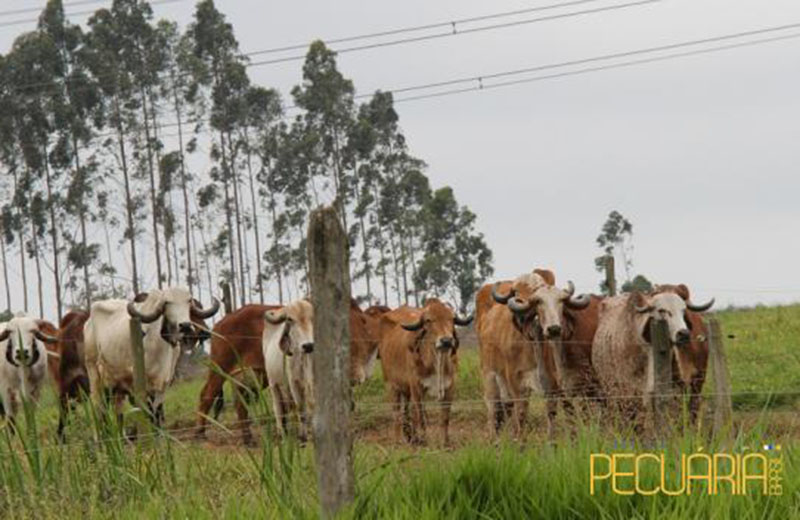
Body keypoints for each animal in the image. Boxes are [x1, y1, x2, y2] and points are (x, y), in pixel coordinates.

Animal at [83, 288, 219, 426]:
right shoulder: (143, 387)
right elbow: (148, 414)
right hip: (95, 376)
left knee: (118, 413)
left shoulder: (162, 385)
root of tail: (88, 323)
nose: (185, 326)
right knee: (100, 410)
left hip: (117, 386)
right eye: (167, 302)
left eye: (188, 301)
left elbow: (157, 414)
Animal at [378, 298, 472, 444]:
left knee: (406, 411)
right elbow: (420, 417)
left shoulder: (450, 386)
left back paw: (410, 435)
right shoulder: (416, 388)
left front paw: (445, 442)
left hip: (405, 390)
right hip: (392, 385)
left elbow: (445, 417)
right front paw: (423, 440)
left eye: (451, 319)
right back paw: (399, 440)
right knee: (397, 413)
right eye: (428, 320)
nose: (446, 340)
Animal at [476, 270, 600, 440]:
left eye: (535, 290)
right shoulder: (515, 381)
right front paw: (520, 442)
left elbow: (552, 412)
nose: (554, 329)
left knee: (505, 411)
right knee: (493, 413)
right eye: (515, 292)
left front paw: (551, 442)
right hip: (490, 378)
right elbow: (521, 414)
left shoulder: (551, 382)